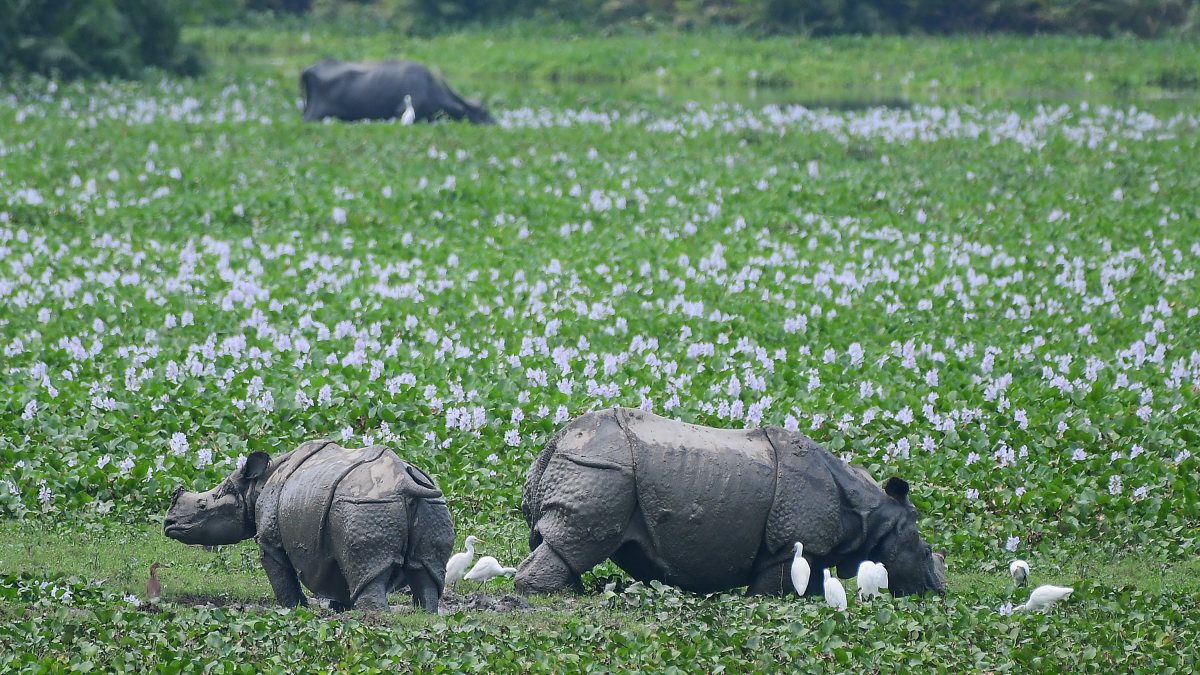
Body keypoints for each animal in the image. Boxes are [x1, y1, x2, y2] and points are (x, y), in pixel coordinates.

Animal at [164, 440, 455, 612]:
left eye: (203, 505)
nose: (168, 523)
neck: (253, 486)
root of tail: (405, 481)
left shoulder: (270, 541)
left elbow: (280, 573)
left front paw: (294, 610)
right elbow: (339, 575)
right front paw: (339, 609)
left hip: (364, 504)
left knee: (367, 569)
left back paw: (374, 618)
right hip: (432, 506)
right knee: (425, 569)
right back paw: (424, 614)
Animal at [517, 408, 946, 598]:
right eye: (926, 553)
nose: (939, 589)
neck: (871, 512)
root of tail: (555, 442)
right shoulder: (785, 546)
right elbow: (771, 589)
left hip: (587, 465)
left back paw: (571, 592)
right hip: (603, 469)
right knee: (582, 540)